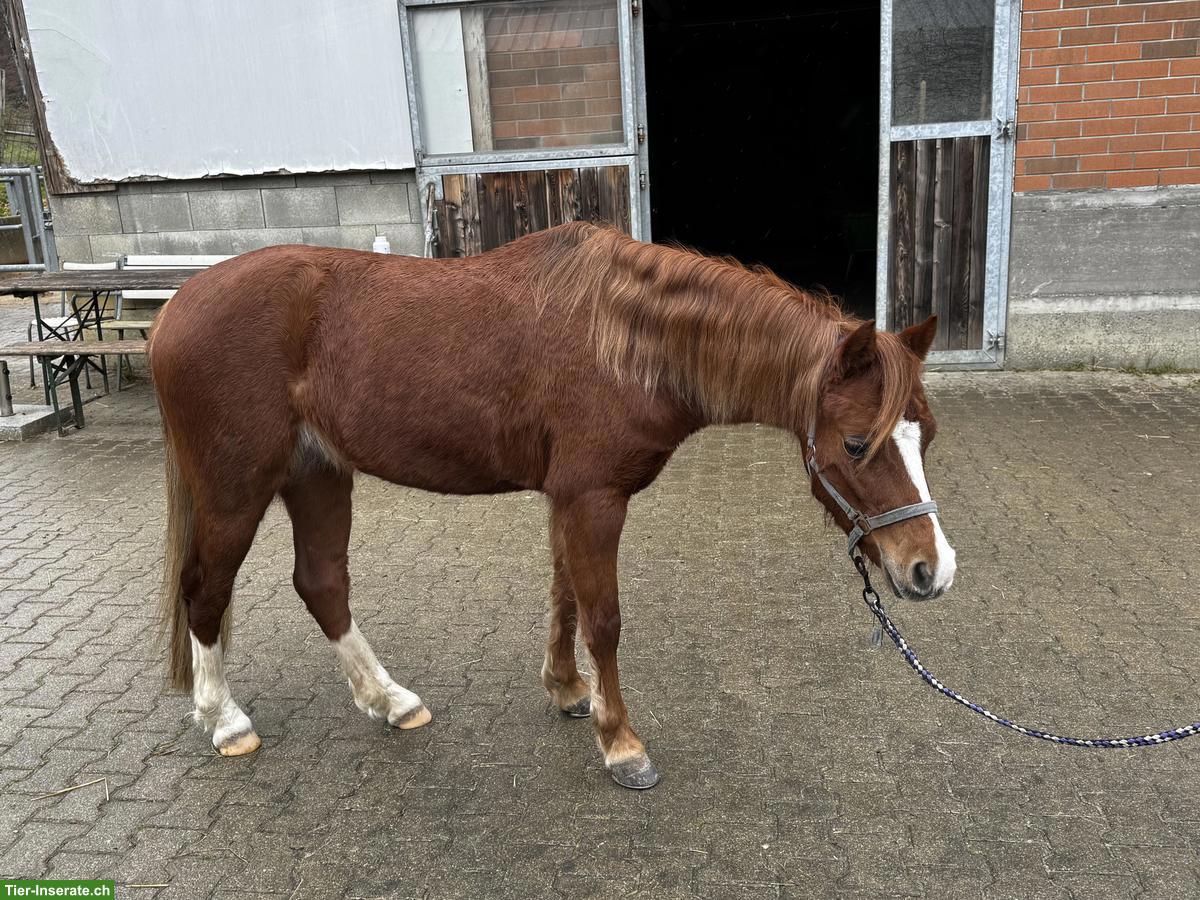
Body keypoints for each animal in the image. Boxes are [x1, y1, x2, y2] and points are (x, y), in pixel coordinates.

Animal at [149, 221, 955, 790]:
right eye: (857, 443)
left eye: (927, 432)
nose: (931, 570)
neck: (626, 342)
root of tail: (175, 309)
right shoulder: (594, 499)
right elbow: (603, 618)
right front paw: (621, 742)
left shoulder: (569, 497)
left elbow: (564, 595)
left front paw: (569, 691)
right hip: (237, 490)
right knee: (206, 590)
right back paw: (224, 720)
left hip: (317, 475)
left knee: (322, 584)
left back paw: (390, 699)